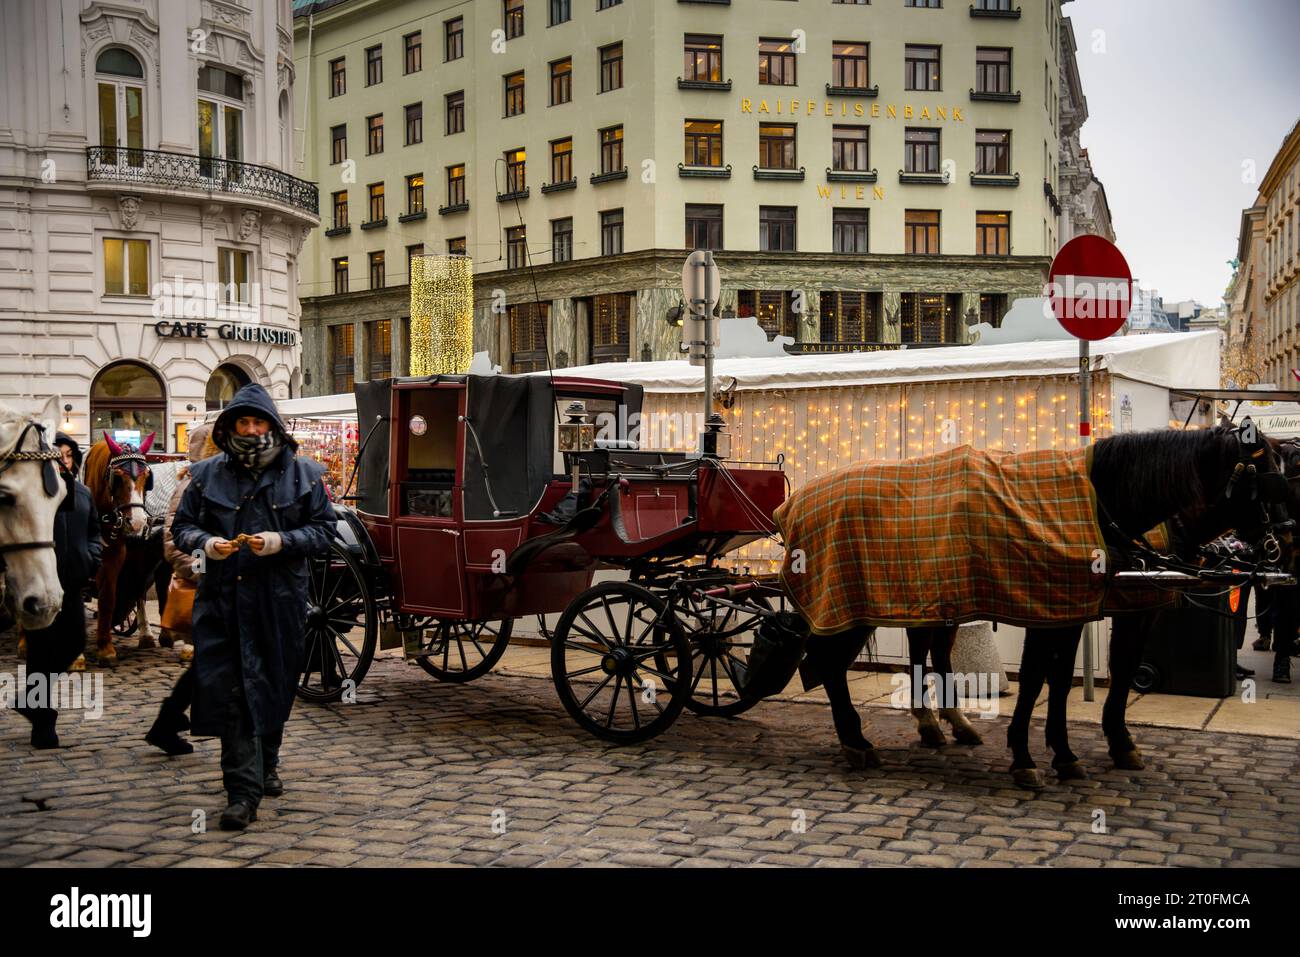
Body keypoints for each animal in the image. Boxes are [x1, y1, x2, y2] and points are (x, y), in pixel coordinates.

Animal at [83, 431, 154, 660]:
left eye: (147, 477)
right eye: (118, 477)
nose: (138, 522)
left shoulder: (114, 556)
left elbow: (108, 598)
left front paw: (105, 647)